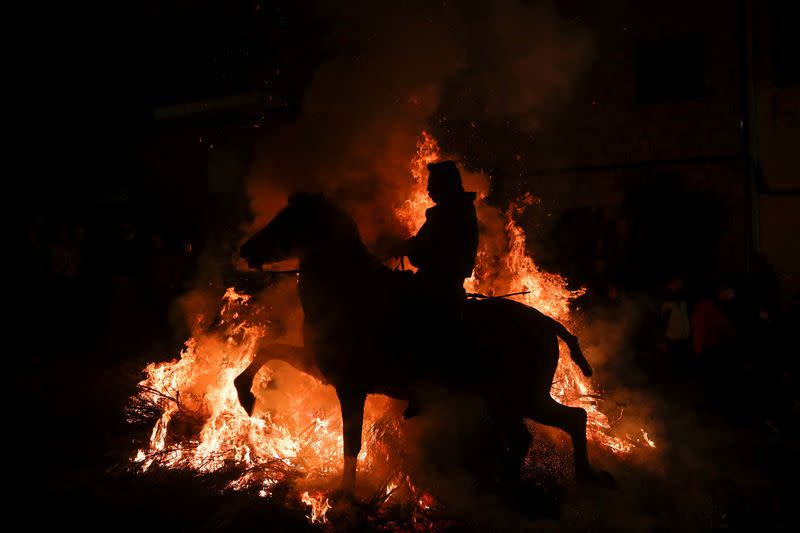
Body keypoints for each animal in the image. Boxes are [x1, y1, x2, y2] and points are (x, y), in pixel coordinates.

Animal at [234, 193, 608, 496]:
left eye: (288, 219)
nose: (246, 249)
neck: (349, 290)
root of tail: (546, 323)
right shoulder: (320, 367)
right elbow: (269, 348)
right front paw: (245, 394)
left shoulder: (351, 387)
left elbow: (351, 444)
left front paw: (345, 494)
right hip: (507, 400)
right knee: (545, 430)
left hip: (519, 397)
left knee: (567, 421)